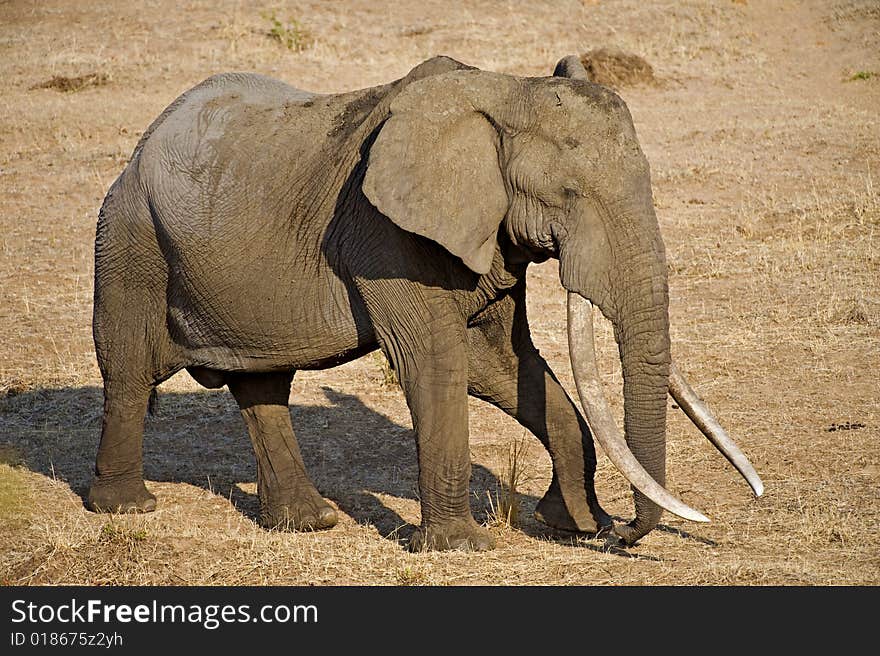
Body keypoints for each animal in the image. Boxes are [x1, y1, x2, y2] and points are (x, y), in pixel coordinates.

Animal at [89, 53, 764, 552]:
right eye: (568, 194)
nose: (622, 532)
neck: (504, 91)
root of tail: (143, 145)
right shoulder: (387, 236)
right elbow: (437, 363)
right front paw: (462, 547)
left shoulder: (489, 233)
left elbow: (507, 363)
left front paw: (570, 524)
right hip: (129, 240)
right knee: (128, 369)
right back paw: (127, 507)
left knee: (262, 383)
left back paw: (309, 521)